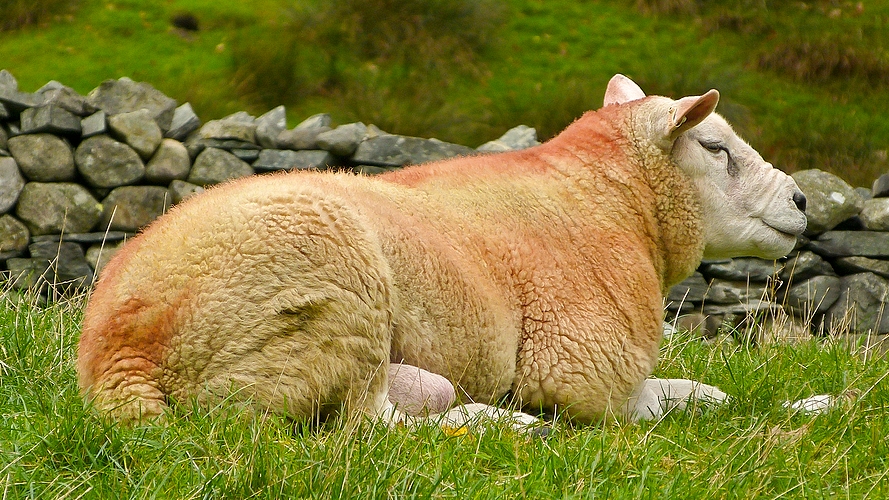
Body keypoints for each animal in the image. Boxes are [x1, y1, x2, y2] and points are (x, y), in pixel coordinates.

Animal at [80, 74, 808, 426]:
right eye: (715, 147)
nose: (803, 202)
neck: (609, 200)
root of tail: (116, 355)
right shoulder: (583, 372)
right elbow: (686, 400)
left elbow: (705, 391)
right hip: (331, 304)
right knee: (362, 428)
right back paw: (502, 424)